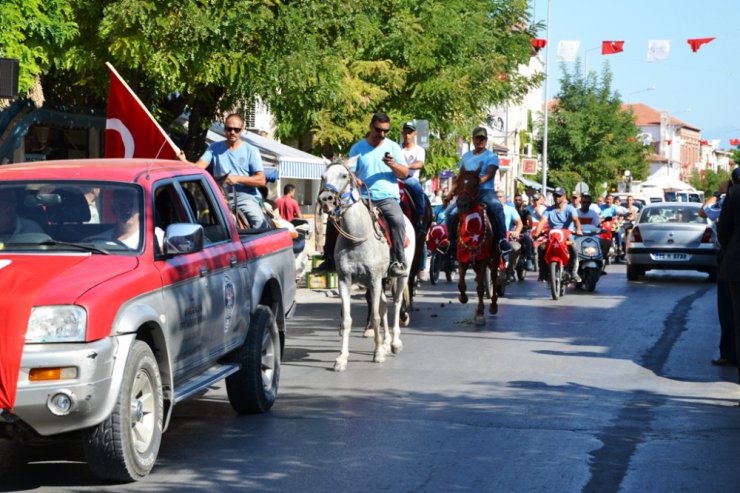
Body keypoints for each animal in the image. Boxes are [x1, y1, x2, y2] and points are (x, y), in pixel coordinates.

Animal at [316, 158, 414, 368]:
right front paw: (342, 358)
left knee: (396, 303)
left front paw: (377, 353)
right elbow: (347, 320)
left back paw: (394, 343)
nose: (326, 199)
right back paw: (385, 343)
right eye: (323, 176)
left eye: (344, 175)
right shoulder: (345, 281)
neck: (356, 238)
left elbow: (376, 317)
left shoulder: (375, 280)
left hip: (401, 275)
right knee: (384, 305)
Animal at [450, 167, 502, 324]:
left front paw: (479, 312)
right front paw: (463, 298)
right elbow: (461, 284)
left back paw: (493, 306)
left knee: (493, 278)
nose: (462, 205)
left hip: (495, 256)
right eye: (458, 183)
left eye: (475, 185)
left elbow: (480, 286)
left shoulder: (483, 259)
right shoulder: (462, 257)